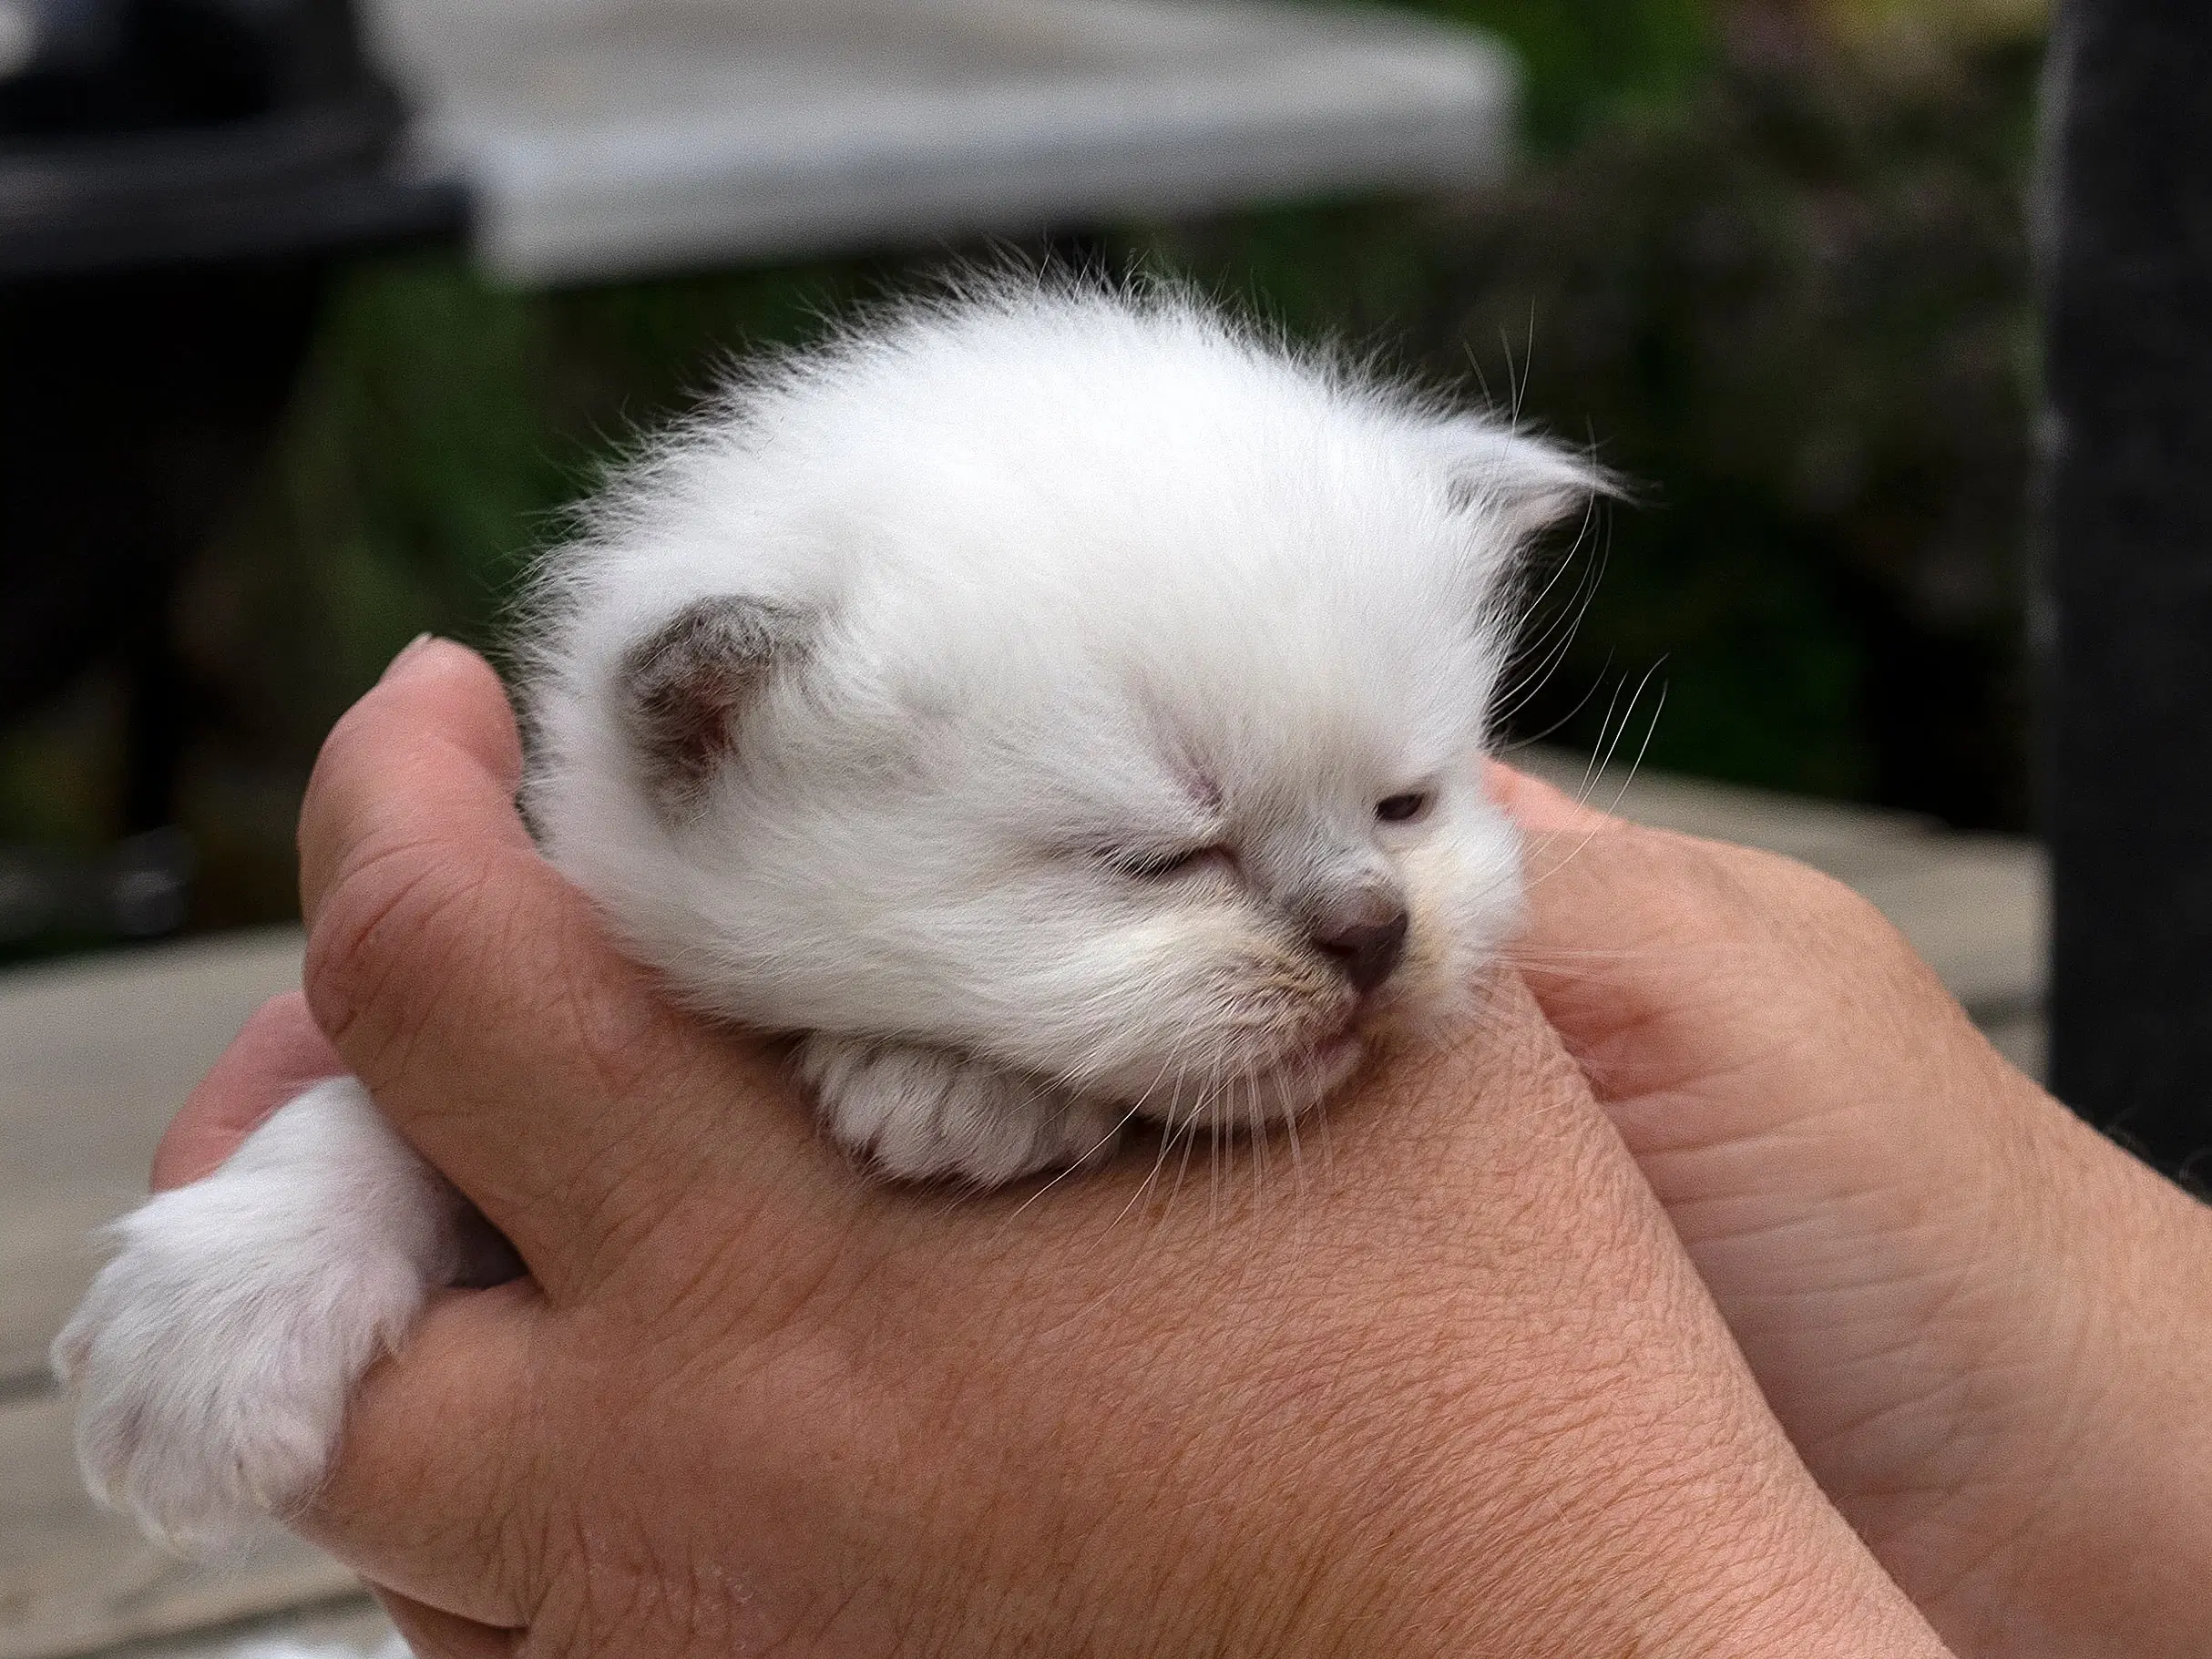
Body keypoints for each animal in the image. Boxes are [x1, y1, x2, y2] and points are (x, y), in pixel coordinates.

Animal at [47, 285, 1592, 1557]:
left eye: (1403, 803)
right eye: (1154, 857)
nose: (1374, 934)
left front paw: (953, 1087)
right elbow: (377, 1118)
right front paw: (218, 1317)